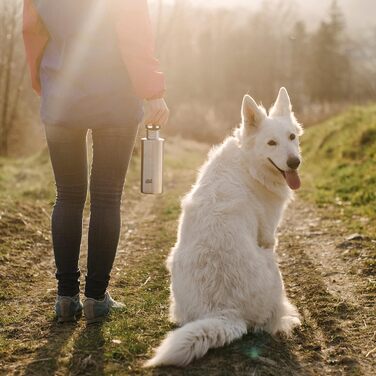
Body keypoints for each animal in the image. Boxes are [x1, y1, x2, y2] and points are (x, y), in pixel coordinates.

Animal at [146, 86, 302, 366]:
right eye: (271, 143)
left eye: (292, 137)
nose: (295, 162)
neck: (248, 164)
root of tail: (224, 312)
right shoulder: (267, 235)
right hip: (271, 265)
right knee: (268, 323)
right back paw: (288, 317)